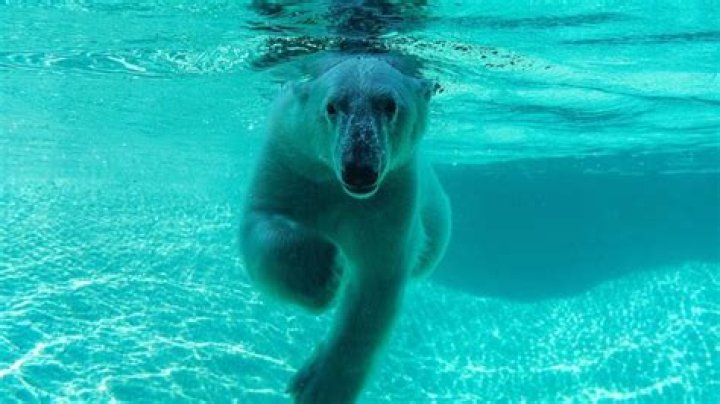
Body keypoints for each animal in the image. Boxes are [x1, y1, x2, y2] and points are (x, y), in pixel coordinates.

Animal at [240, 54, 451, 403]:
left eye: (390, 105)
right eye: (331, 106)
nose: (359, 168)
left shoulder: (391, 196)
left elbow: (374, 287)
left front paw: (318, 388)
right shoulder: (290, 159)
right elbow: (262, 220)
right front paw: (322, 274)